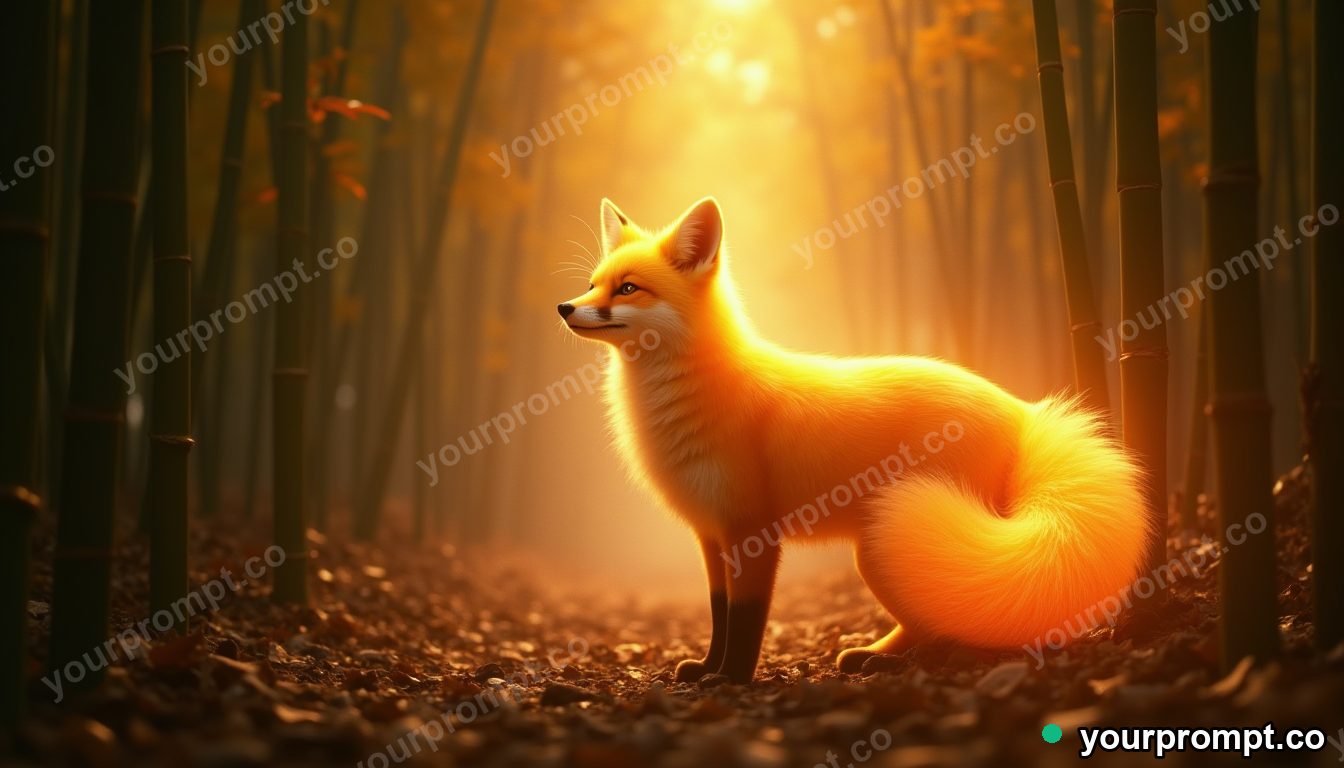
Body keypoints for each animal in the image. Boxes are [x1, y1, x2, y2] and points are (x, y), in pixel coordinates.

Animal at [558, 197, 1150, 683]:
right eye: (591, 283)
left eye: (628, 288)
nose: (564, 308)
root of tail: (1023, 411)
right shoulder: (711, 533)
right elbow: (719, 613)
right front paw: (706, 667)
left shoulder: (752, 532)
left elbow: (745, 620)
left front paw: (730, 680)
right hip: (889, 551)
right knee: (934, 618)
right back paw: (878, 658)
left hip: (900, 543)